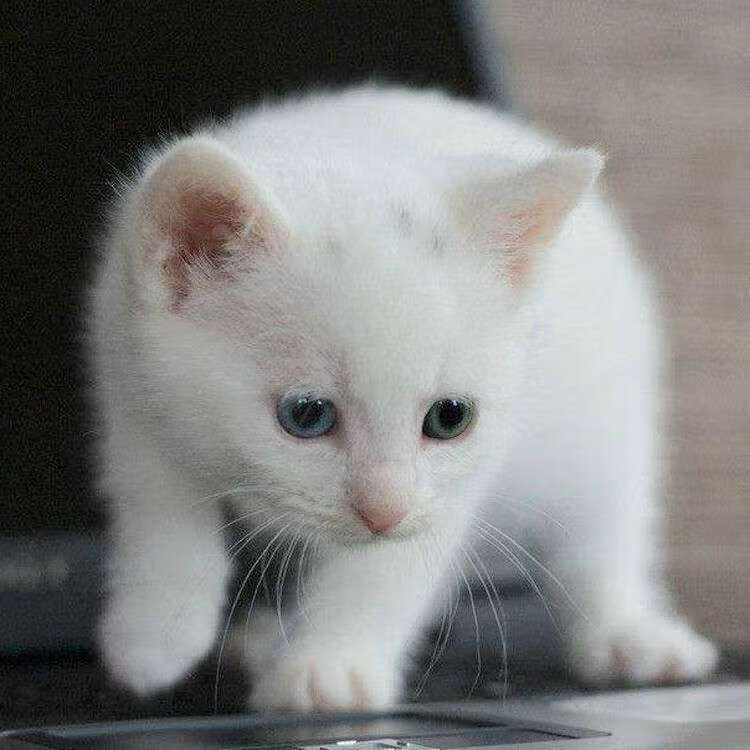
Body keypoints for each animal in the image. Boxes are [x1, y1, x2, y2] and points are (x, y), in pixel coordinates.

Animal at [91, 85, 720, 712]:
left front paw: (329, 668)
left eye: (449, 418)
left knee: (603, 536)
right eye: (306, 414)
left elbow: (385, 572)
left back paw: (629, 637)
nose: (383, 512)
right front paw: (156, 632)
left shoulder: (455, 484)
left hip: (608, 427)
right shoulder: (126, 368)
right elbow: (160, 502)